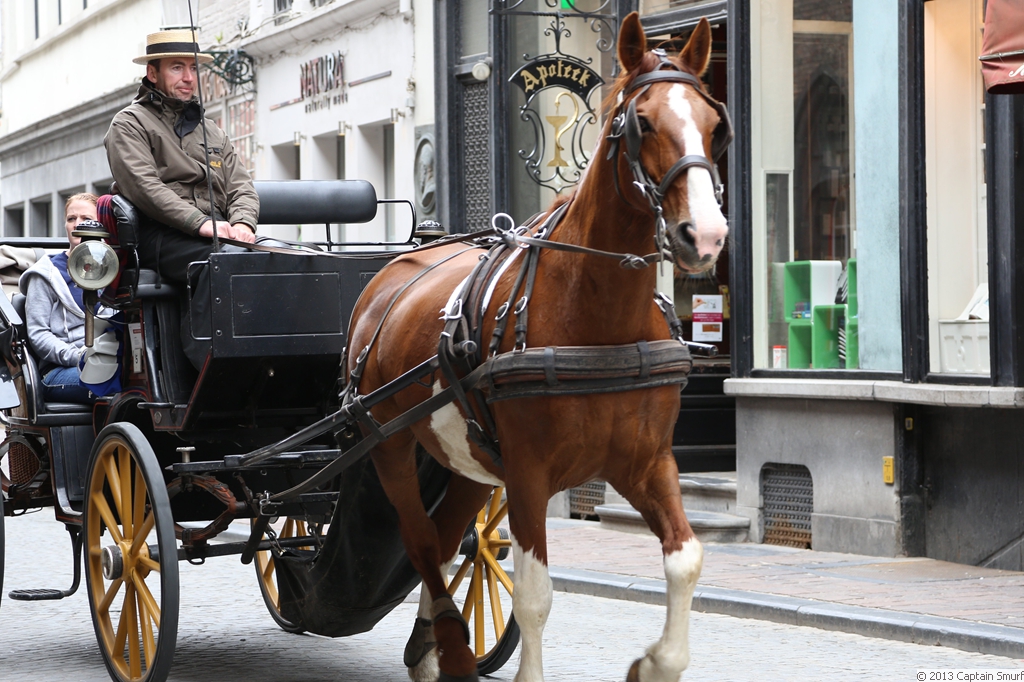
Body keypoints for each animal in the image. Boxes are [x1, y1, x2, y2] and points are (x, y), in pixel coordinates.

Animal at [350, 11, 729, 679]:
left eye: (714, 123)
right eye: (643, 121)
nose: (705, 236)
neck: (597, 314)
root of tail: (393, 270)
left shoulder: (647, 462)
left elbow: (687, 560)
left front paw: (654, 663)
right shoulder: (528, 473)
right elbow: (533, 595)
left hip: (470, 462)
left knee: (445, 539)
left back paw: (431, 647)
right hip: (389, 446)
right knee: (421, 542)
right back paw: (450, 645)